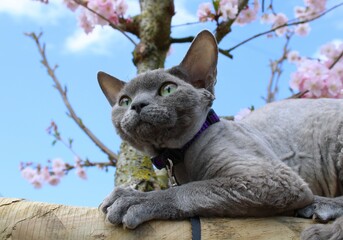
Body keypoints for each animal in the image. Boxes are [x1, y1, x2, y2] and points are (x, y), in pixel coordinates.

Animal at [97, 30, 343, 240]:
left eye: (167, 89)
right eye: (124, 101)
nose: (137, 105)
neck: (178, 158)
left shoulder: (272, 177)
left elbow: (194, 189)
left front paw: (135, 199)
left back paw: (321, 215)